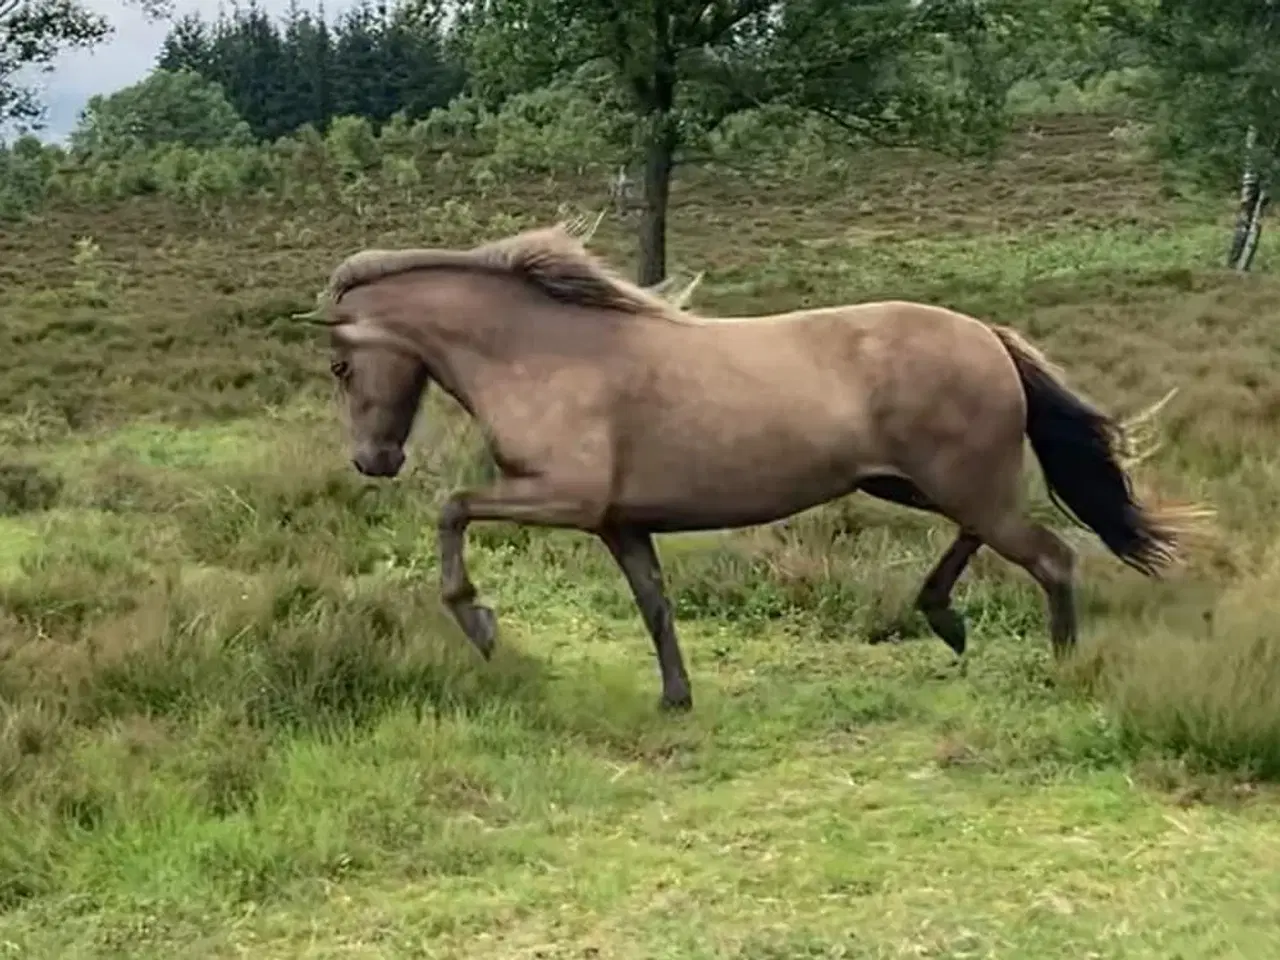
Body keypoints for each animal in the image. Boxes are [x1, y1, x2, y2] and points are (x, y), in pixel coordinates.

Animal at [309, 221, 1208, 711]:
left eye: (341, 367)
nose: (373, 460)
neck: (543, 353)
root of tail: (988, 334)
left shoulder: (564, 497)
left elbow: (454, 509)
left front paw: (482, 627)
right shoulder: (618, 522)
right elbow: (654, 605)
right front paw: (676, 698)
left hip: (959, 485)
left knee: (1050, 557)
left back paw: (1062, 666)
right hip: (914, 483)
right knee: (987, 539)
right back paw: (942, 617)